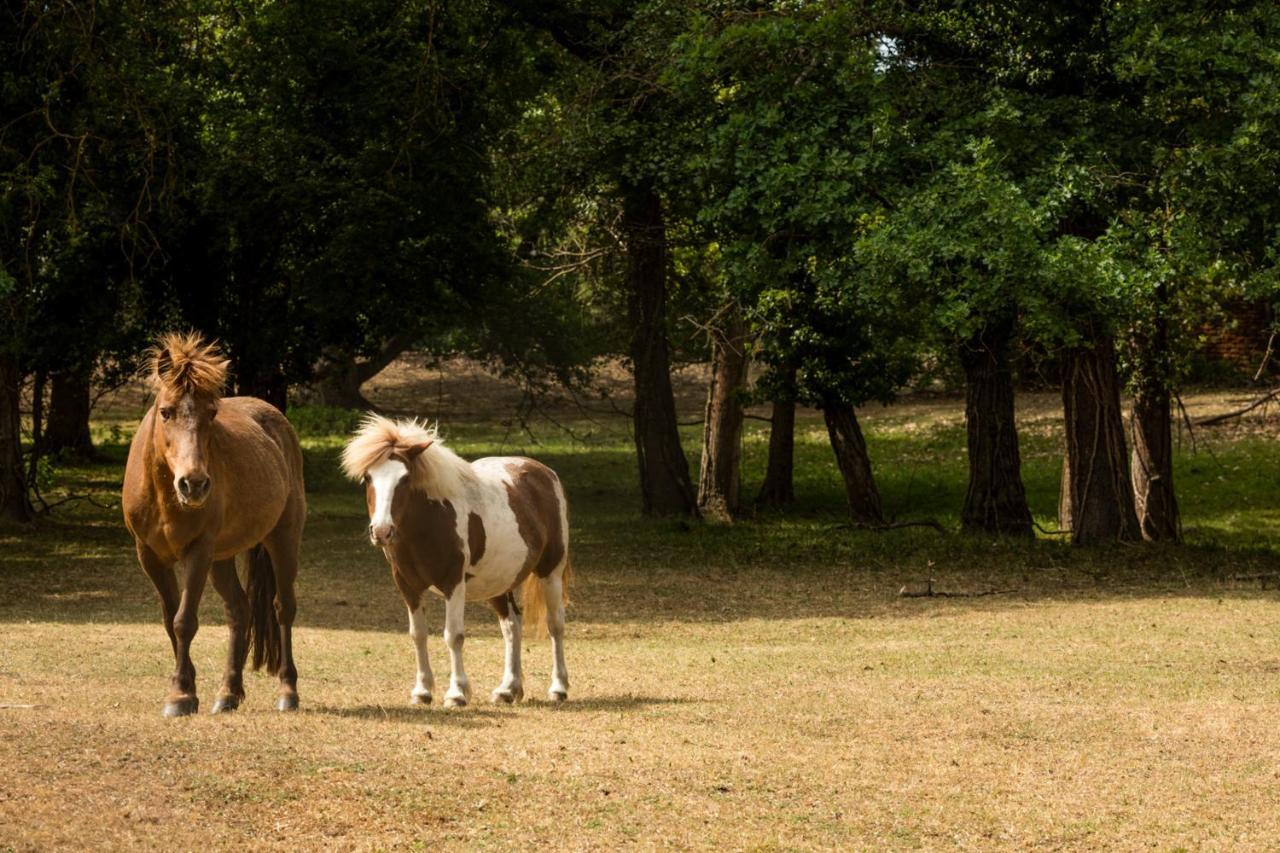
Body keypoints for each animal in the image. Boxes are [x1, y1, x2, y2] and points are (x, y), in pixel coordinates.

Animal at [122, 327, 307, 712]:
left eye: (211, 413)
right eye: (166, 411)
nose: (194, 483)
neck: (165, 498)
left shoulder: (198, 551)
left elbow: (184, 621)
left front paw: (180, 694)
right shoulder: (149, 555)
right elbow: (170, 619)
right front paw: (187, 686)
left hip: (282, 540)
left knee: (283, 608)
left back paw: (287, 691)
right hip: (222, 558)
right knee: (239, 610)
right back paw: (228, 694)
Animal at [345, 417, 576, 701]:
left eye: (405, 478)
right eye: (368, 477)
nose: (381, 531)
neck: (428, 522)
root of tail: (545, 473)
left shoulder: (453, 582)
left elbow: (453, 635)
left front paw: (456, 693)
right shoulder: (408, 585)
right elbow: (418, 634)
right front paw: (422, 690)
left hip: (551, 571)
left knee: (555, 625)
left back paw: (558, 687)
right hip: (498, 582)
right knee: (512, 625)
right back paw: (508, 689)